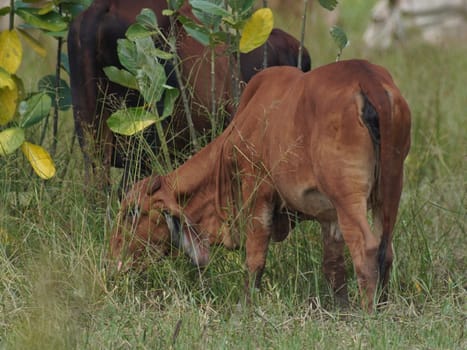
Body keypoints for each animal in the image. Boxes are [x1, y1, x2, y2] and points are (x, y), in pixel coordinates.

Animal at [111, 58, 412, 310]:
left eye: (132, 212)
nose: (114, 259)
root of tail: (367, 79)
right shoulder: (328, 215)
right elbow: (333, 265)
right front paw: (341, 309)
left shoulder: (257, 190)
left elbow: (255, 257)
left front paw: (244, 307)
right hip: (391, 187)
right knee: (385, 250)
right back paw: (382, 306)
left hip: (346, 193)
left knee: (367, 247)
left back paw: (368, 313)